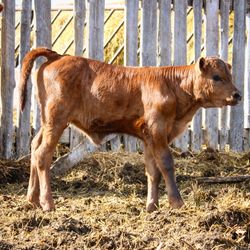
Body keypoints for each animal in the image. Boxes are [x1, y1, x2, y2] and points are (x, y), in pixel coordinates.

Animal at [18, 47, 241, 211]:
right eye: (216, 77)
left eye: (230, 75)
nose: (237, 95)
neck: (172, 86)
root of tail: (58, 55)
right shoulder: (158, 131)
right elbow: (166, 165)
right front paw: (177, 202)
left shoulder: (149, 137)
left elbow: (153, 171)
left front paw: (152, 206)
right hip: (56, 120)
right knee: (43, 155)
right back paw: (47, 203)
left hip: (47, 122)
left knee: (34, 147)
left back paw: (32, 199)